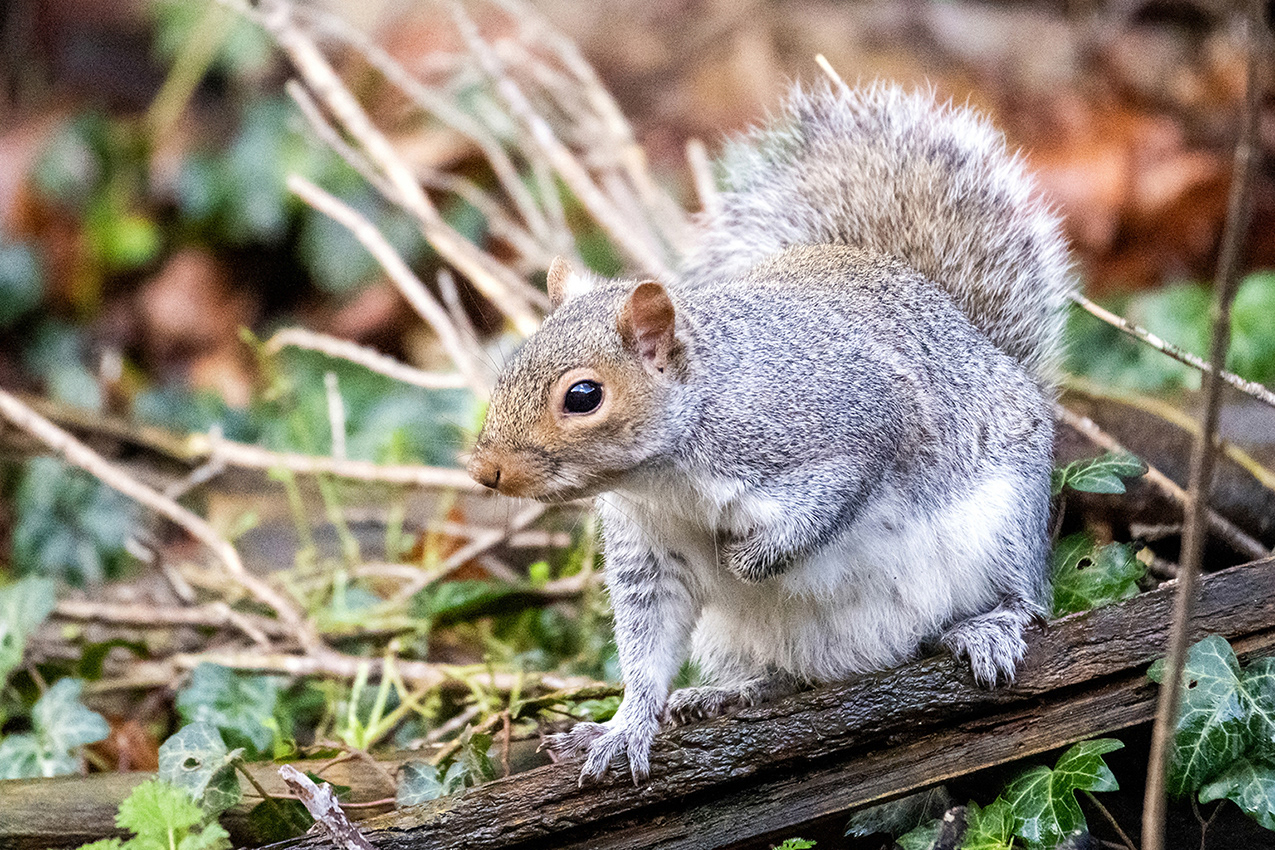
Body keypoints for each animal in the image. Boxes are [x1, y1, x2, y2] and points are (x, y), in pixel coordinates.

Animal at [467, 80, 1074, 783]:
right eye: (511, 361)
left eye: (583, 396)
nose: (485, 470)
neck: (668, 477)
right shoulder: (650, 550)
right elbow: (648, 646)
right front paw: (625, 725)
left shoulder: (845, 427)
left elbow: (829, 501)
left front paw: (750, 560)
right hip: (736, 639)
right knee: (784, 679)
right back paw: (724, 693)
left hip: (1004, 528)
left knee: (1026, 600)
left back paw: (988, 626)